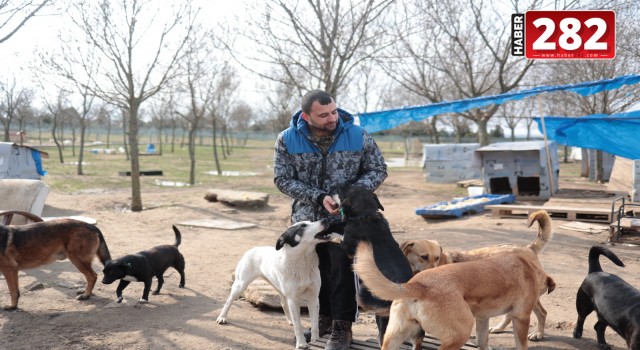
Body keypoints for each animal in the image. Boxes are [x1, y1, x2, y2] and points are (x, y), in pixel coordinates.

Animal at [216, 220, 332, 348]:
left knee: (283, 303)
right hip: (240, 284)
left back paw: (290, 320)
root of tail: (253, 249)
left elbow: (315, 325)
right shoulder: (293, 299)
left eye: (311, 221)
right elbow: (298, 326)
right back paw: (222, 317)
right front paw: (301, 343)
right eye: (302, 226)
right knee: (229, 300)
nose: (325, 220)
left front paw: (315, 341)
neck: (303, 261)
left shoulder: (313, 297)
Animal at [336, 185, 416, 348]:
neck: (366, 214)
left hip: (382, 317)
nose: (338, 187)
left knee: (382, 339)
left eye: (344, 190)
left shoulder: (346, 248)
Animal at [356, 241, 556, 350]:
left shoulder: (482, 319)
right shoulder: (521, 318)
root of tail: (417, 285)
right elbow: (521, 344)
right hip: (461, 332)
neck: (530, 268)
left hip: (395, 336)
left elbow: (483, 341)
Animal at [402, 209, 552, 340]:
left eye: (437, 258)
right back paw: (499, 328)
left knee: (542, 313)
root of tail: (529, 248)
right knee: (512, 315)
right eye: (424, 257)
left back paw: (538, 333)